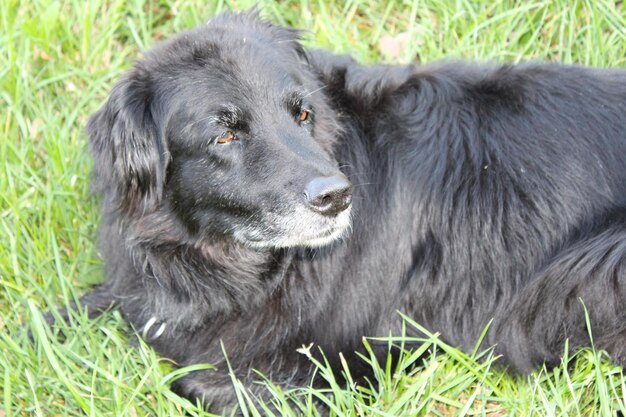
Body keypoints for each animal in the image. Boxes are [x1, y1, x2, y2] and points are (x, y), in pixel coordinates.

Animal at [61, 10, 620, 412]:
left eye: (303, 113)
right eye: (223, 135)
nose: (337, 196)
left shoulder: (337, 368)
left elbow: (195, 378)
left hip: (590, 265)